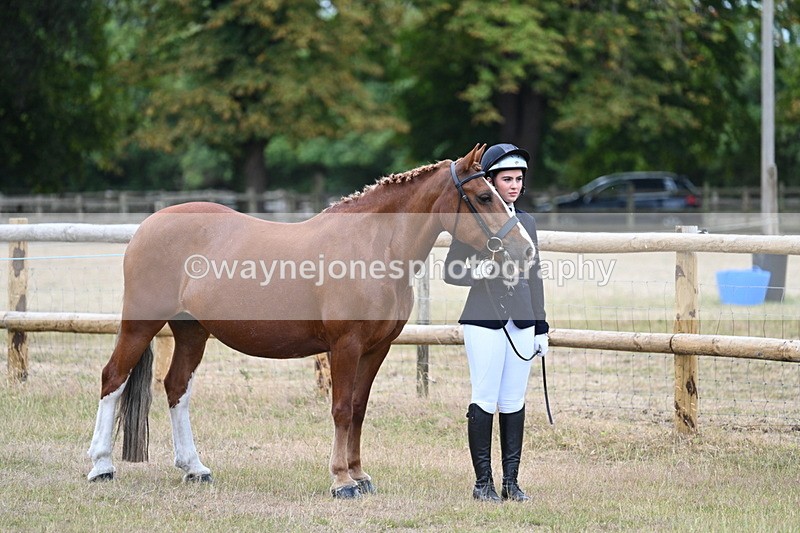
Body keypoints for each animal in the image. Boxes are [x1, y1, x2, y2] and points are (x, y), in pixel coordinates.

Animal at [86, 144, 535, 498]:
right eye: (483, 196)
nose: (525, 250)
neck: (373, 247)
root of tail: (150, 223)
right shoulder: (345, 346)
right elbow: (340, 410)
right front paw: (341, 481)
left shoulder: (376, 349)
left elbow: (358, 409)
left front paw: (360, 475)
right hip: (140, 324)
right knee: (113, 378)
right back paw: (101, 466)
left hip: (192, 330)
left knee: (177, 387)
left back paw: (194, 468)